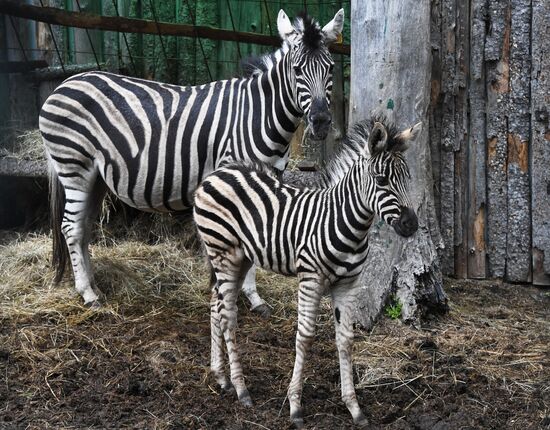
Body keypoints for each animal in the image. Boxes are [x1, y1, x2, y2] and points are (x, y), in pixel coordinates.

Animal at [41, 8, 344, 308]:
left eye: (330, 68)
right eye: (297, 70)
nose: (320, 122)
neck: (260, 114)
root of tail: (65, 82)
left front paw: (247, 295)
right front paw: (238, 293)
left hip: (96, 177)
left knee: (83, 226)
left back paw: (94, 286)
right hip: (75, 165)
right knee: (71, 227)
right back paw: (87, 293)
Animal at [194, 116, 422, 426]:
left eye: (407, 178)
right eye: (382, 180)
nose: (412, 225)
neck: (344, 222)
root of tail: (218, 173)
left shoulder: (348, 284)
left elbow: (346, 339)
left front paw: (354, 408)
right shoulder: (310, 279)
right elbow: (304, 337)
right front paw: (295, 406)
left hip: (239, 257)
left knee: (215, 305)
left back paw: (221, 377)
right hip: (223, 252)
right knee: (228, 315)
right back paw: (241, 389)